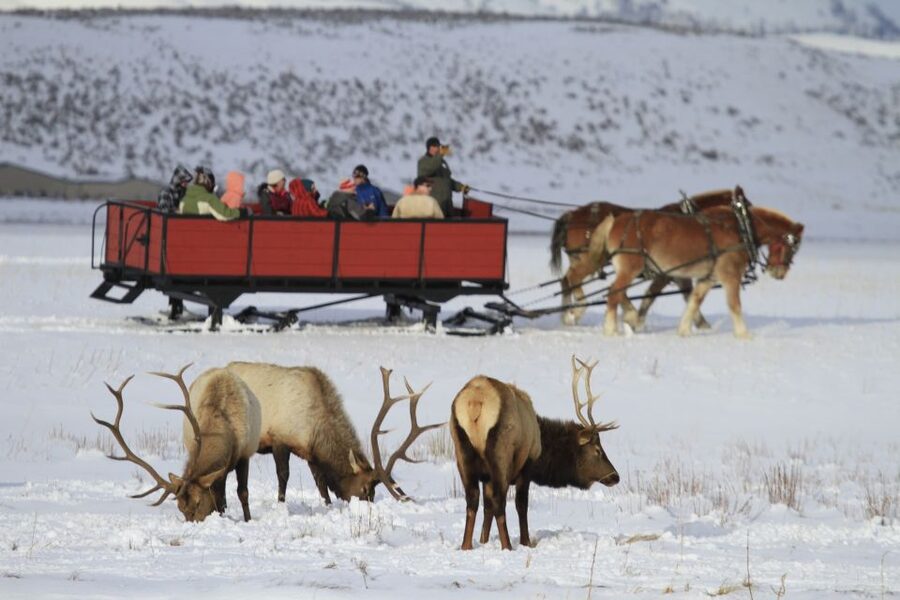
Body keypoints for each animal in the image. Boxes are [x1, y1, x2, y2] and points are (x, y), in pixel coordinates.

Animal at [92, 364, 262, 522]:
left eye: (198, 502)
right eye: (180, 508)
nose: (193, 523)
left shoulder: (245, 454)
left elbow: (242, 493)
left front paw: (248, 519)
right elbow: (221, 499)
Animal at [225, 361, 441, 504]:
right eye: (364, 488)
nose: (366, 505)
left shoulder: (311, 454)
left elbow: (321, 484)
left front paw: (328, 505)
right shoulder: (280, 438)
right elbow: (283, 475)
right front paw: (281, 503)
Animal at [450, 357, 619, 550]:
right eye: (597, 449)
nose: (615, 476)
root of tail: (476, 402)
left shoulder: (487, 477)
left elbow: (487, 508)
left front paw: (483, 540)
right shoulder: (527, 465)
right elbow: (520, 505)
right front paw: (526, 542)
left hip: (461, 450)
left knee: (472, 499)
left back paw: (466, 546)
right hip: (501, 453)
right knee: (500, 501)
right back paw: (507, 546)